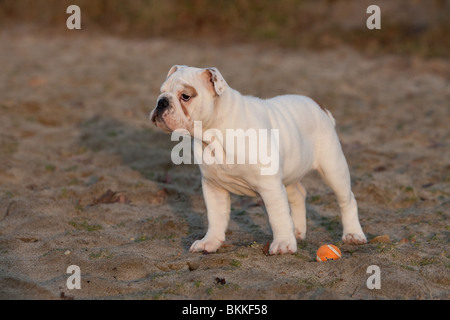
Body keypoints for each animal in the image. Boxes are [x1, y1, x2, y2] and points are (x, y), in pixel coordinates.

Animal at [149, 65, 368, 255]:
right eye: (161, 91)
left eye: (185, 96)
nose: (161, 102)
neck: (214, 134)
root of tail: (320, 106)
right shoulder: (213, 187)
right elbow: (216, 217)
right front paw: (209, 242)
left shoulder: (270, 186)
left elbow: (278, 216)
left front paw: (283, 244)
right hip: (290, 172)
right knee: (298, 195)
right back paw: (297, 231)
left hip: (332, 167)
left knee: (347, 200)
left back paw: (353, 235)